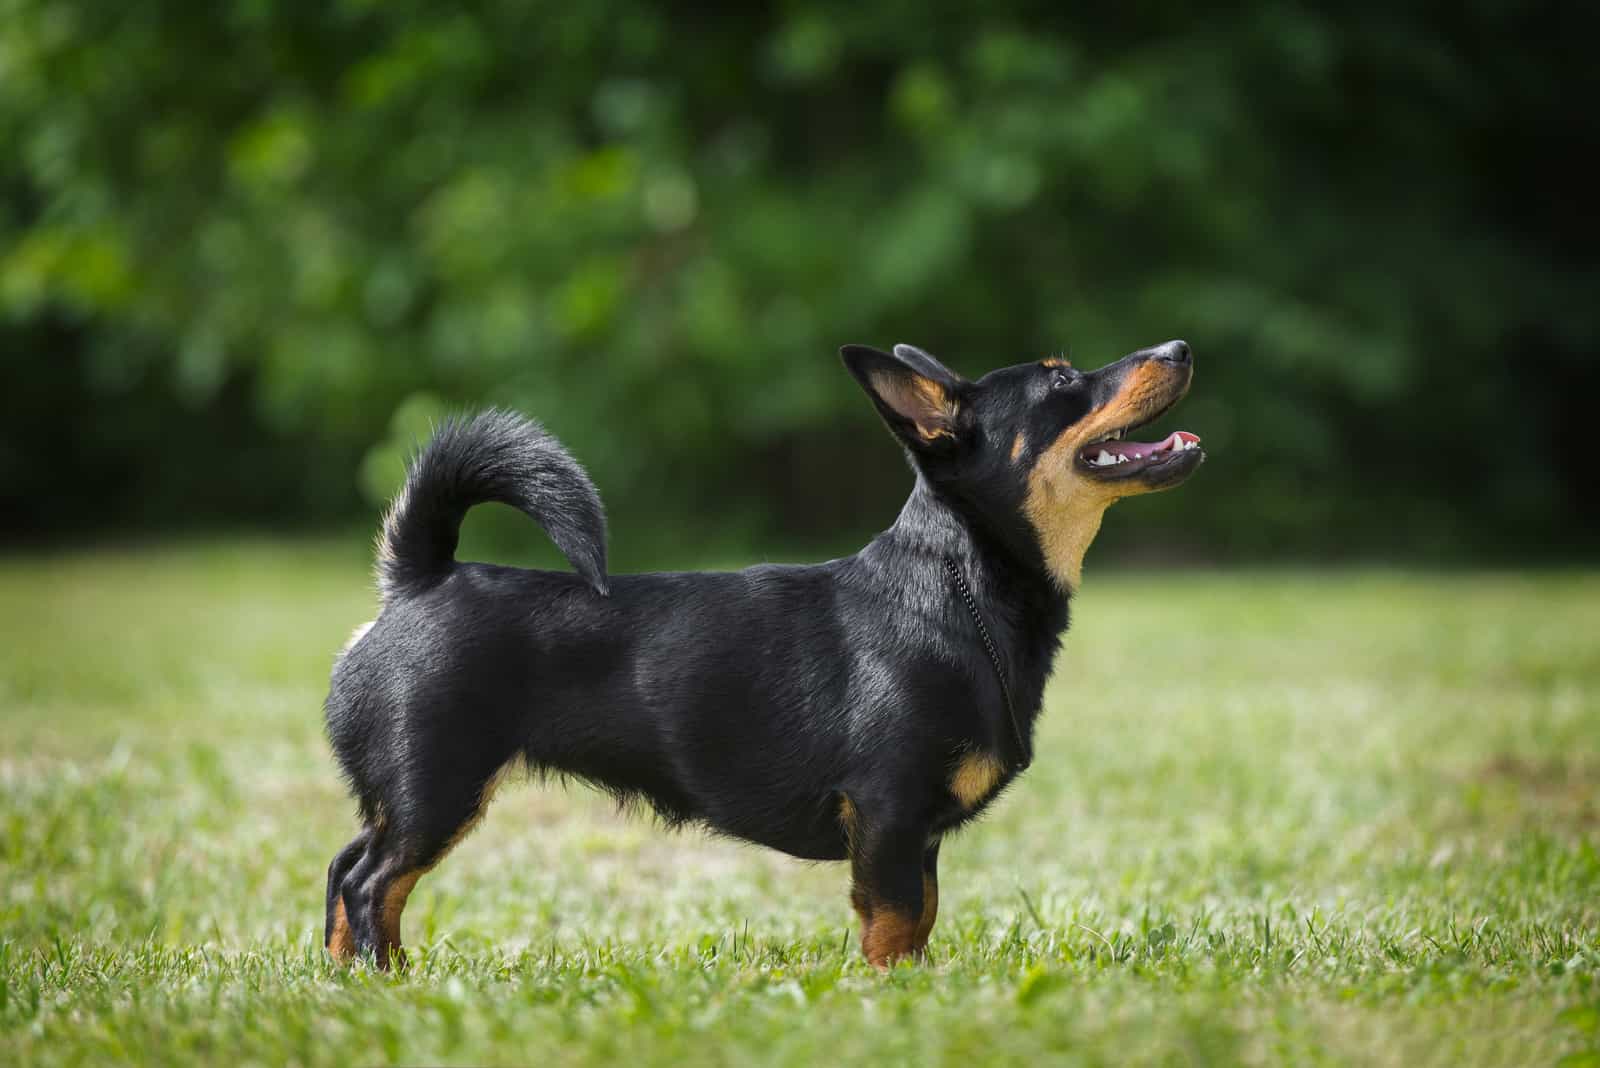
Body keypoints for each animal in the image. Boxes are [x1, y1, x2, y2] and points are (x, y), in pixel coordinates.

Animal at [321, 340, 1203, 965]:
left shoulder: (916, 837)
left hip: (410, 799)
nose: (1181, 346)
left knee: (344, 870)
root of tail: (420, 576)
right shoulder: (888, 814)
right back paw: (388, 978)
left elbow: (921, 915)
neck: (959, 586)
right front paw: (893, 995)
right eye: (1063, 384)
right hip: (437, 791)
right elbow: (894, 922)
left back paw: (350, 979)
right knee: (372, 884)